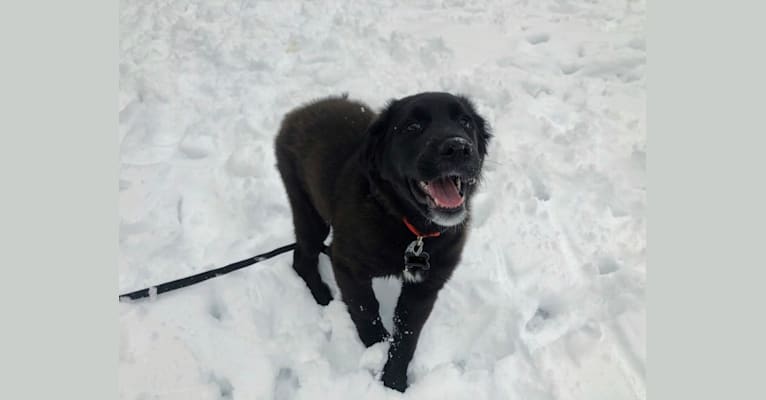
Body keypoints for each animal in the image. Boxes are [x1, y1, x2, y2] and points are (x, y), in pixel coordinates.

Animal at [276, 90, 492, 390]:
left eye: (465, 122)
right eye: (413, 127)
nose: (458, 148)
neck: (410, 229)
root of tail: (300, 111)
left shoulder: (426, 284)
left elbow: (407, 333)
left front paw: (394, 381)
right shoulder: (347, 266)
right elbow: (366, 312)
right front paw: (376, 357)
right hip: (308, 211)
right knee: (301, 258)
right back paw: (322, 296)